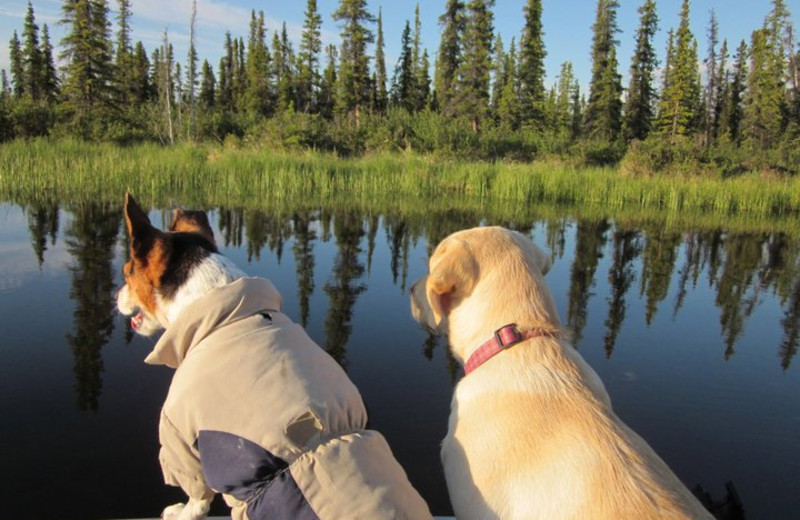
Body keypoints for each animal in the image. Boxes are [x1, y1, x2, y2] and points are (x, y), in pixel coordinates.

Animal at [115, 195, 432, 520]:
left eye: (127, 271)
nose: (116, 296)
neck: (221, 308)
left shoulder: (179, 434)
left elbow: (197, 496)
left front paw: (180, 513)